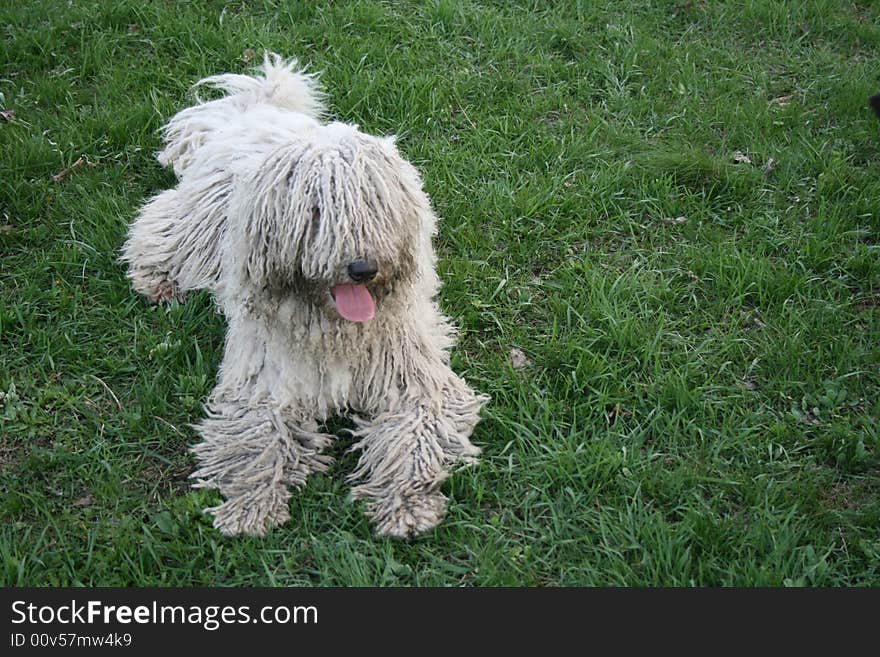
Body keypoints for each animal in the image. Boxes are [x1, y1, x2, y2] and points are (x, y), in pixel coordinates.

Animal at [122, 55, 488, 540]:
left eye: (374, 206)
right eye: (315, 212)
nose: (362, 267)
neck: (335, 328)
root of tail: (255, 110)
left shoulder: (412, 381)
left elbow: (411, 439)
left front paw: (405, 502)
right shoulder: (265, 382)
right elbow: (256, 441)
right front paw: (250, 504)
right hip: (196, 225)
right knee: (158, 225)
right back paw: (156, 279)